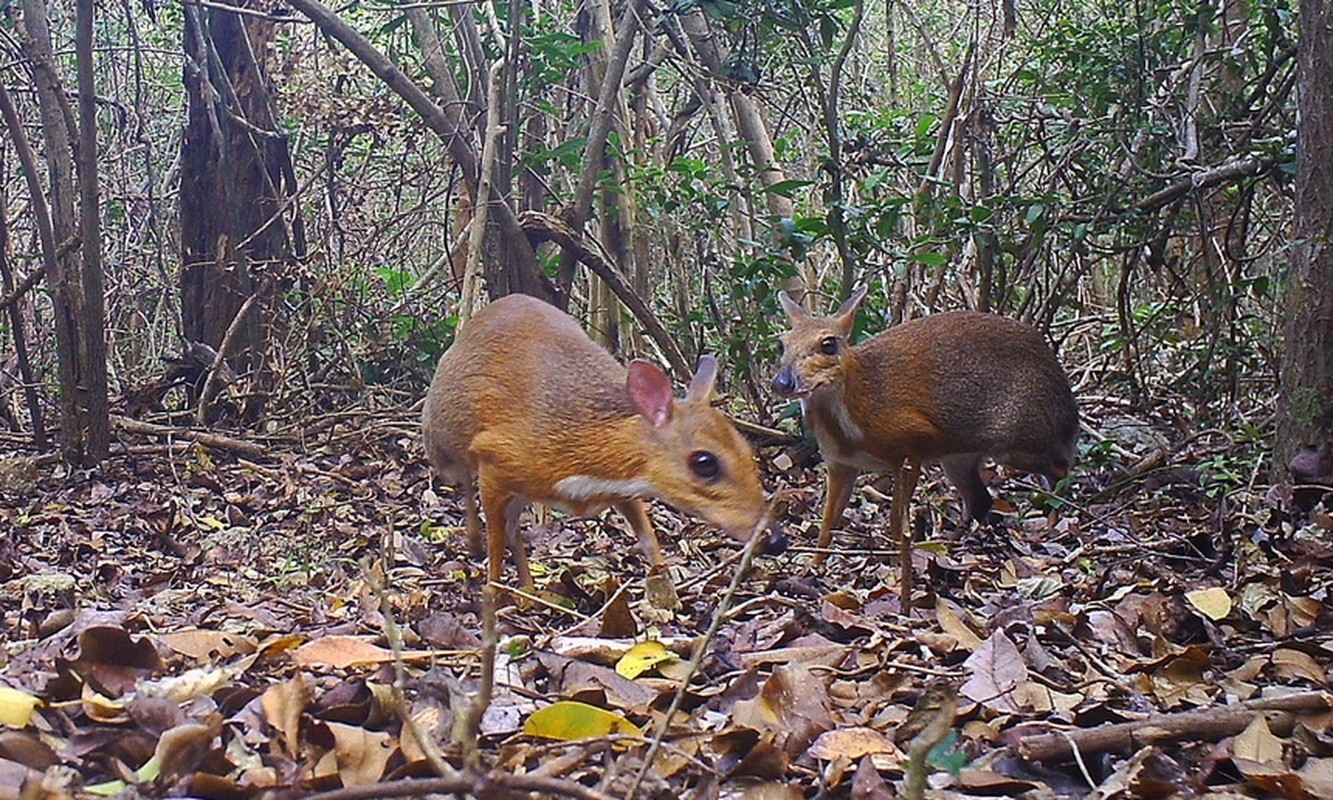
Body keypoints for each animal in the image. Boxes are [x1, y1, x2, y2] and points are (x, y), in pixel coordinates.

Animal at [421, 290, 783, 597]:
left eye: (746, 450)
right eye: (704, 463)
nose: (777, 538)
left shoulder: (625, 489)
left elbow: (649, 537)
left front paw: (669, 594)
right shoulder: (493, 456)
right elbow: (495, 543)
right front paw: (493, 594)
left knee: (513, 525)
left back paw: (529, 590)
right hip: (442, 444)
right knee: (466, 486)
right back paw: (476, 544)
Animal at [778, 288, 1077, 605]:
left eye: (828, 344)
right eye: (782, 343)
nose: (782, 382)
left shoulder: (912, 445)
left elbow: (896, 520)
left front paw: (896, 566)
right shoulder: (840, 464)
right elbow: (827, 524)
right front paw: (813, 567)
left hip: (1021, 440)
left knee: (1061, 469)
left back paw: (1052, 525)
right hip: (958, 457)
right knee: (981, 499)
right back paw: (950, 545)